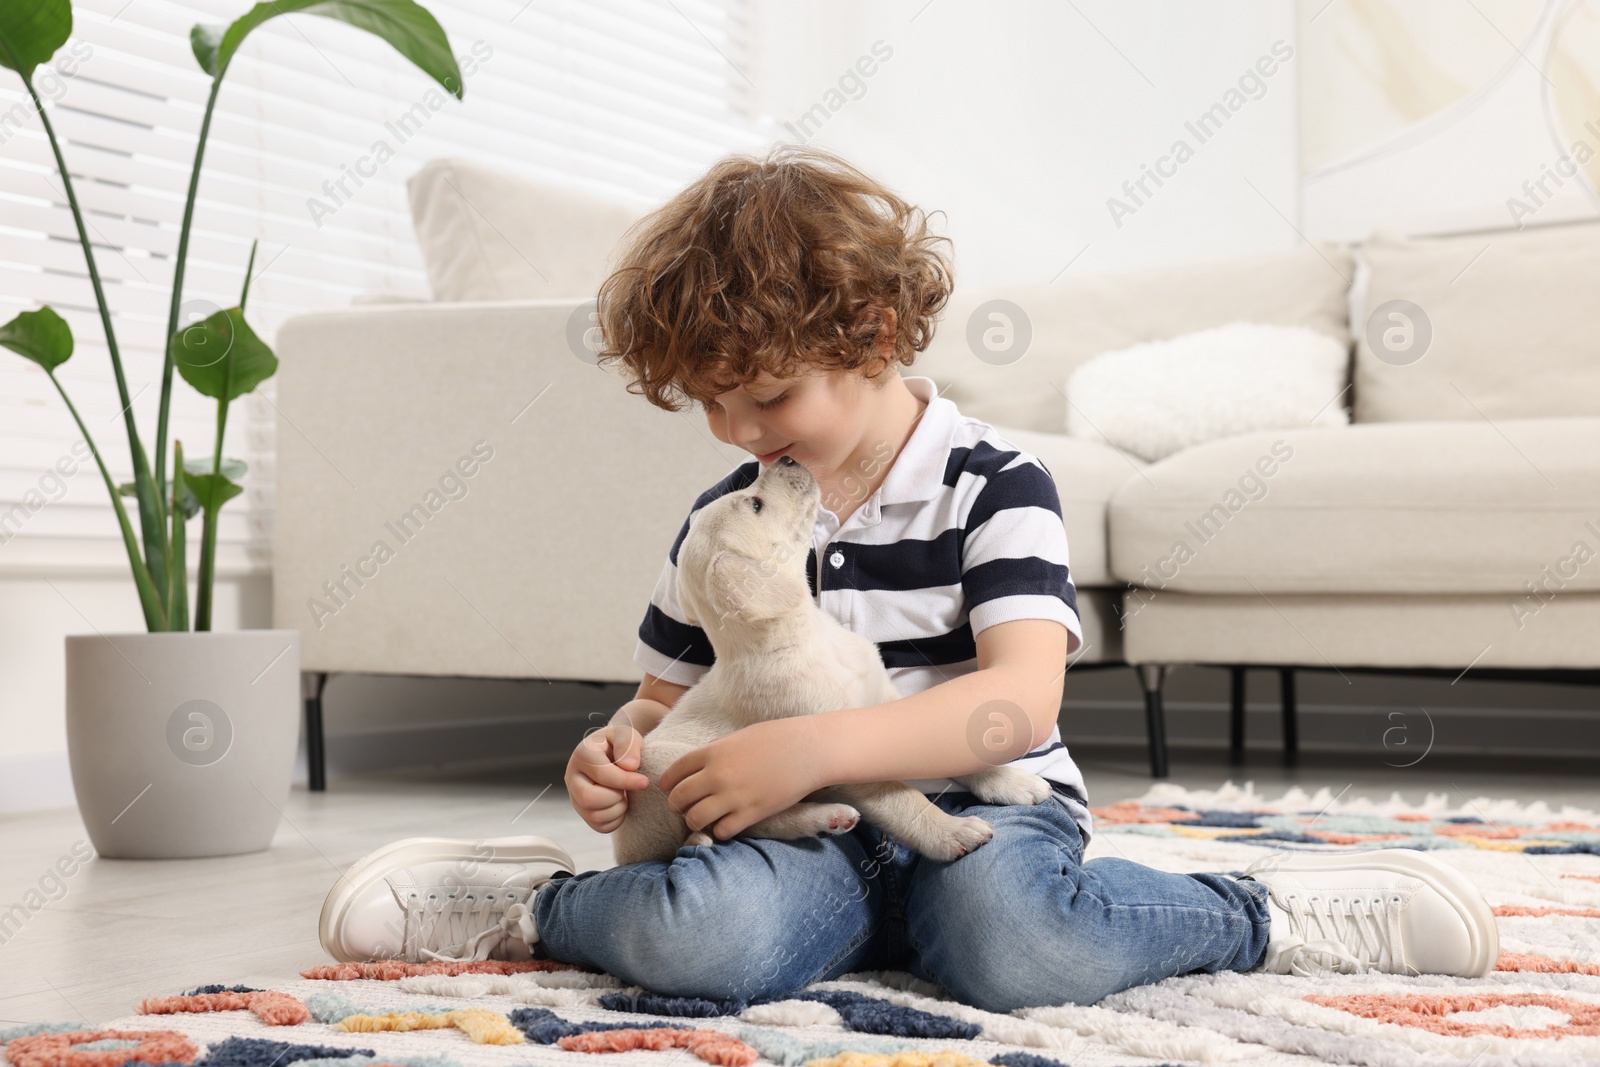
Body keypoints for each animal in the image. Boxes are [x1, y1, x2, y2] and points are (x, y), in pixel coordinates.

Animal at [611, 454, 1049, 870]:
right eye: (755, 504)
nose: (786, 459)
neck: (807, 636)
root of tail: (627, 852)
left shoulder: (885, 706)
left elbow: (950, 743)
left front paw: (1011, 781)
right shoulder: (841, 751)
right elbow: (903, 799)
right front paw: (950, 832)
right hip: (664, 767)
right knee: (739, 825)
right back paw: (825, 816)